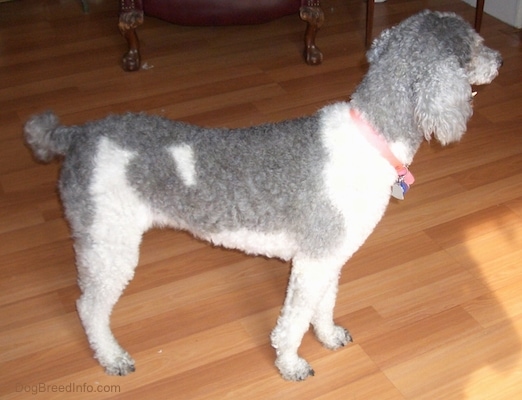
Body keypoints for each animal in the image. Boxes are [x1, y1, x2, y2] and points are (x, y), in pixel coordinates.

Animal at [23, 10, 500, 382]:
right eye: (475, 45)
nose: (500, 58)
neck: (372, 137)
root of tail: (78, 134)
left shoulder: (329, 256)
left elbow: (323, 307)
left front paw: (328, 336)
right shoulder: (312, 262)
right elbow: (292, 322)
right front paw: (290, 363)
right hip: (111, 245)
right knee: (89, 307)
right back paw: (111, 356)